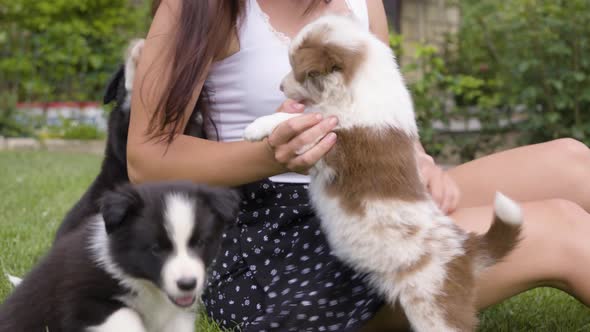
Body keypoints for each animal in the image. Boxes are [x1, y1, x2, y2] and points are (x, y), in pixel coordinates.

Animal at [0, 182, 240, 332]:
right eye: (156, 249)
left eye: (200, 243)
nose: (187, 284)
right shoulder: (81, 302)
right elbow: (128, 317)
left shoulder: (176, 316)